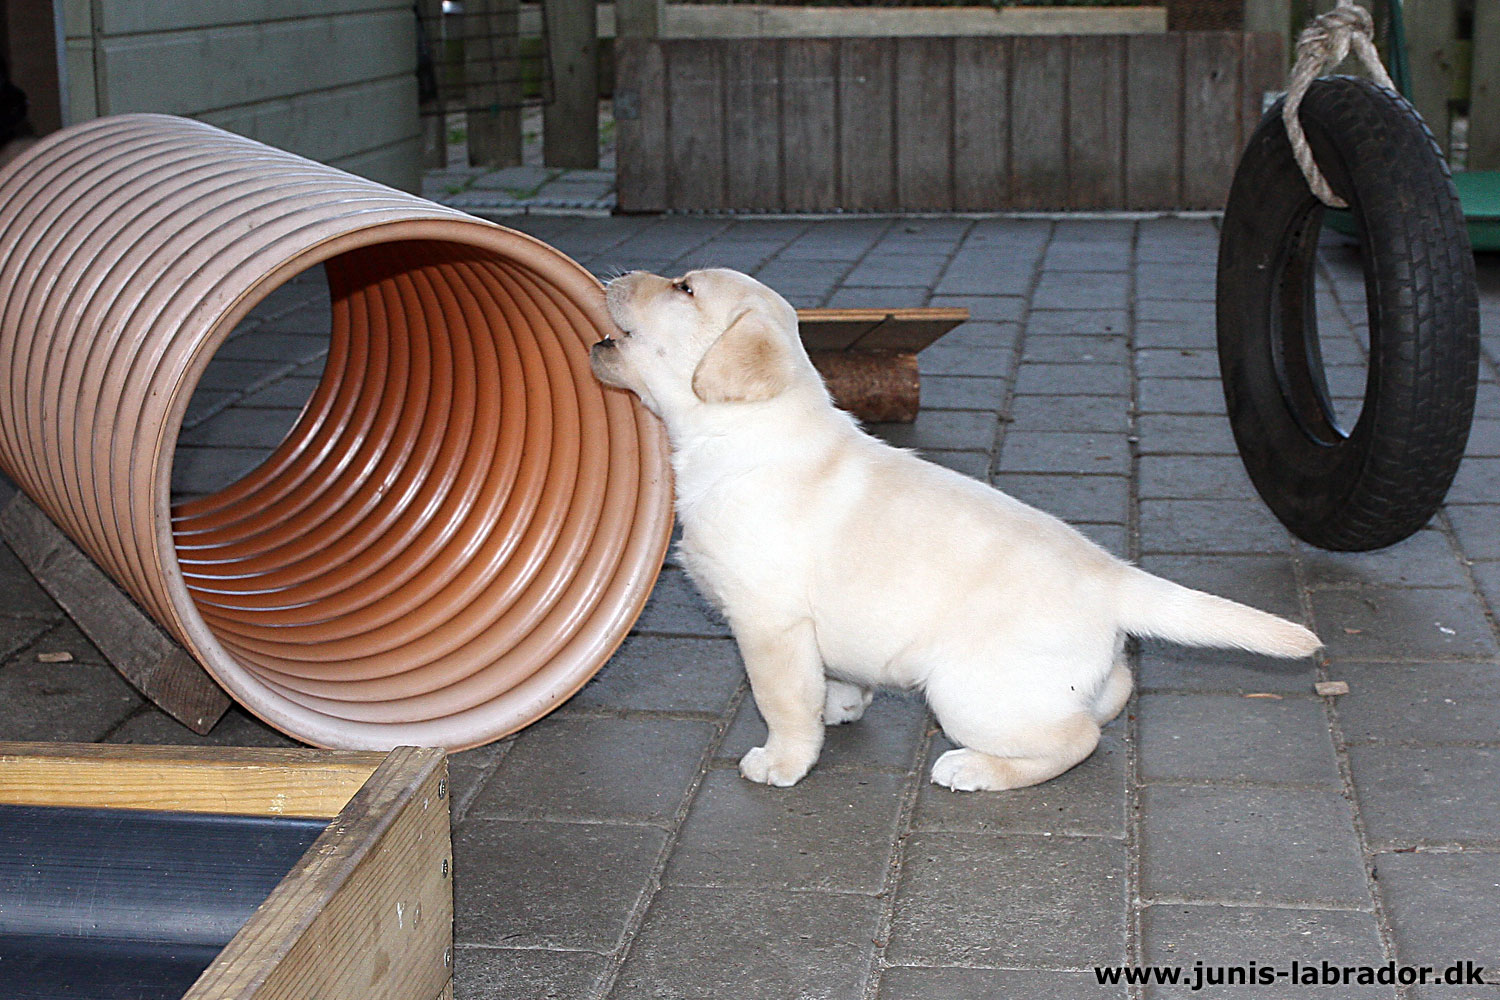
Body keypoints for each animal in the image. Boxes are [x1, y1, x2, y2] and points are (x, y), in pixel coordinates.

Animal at [591, 269, 1320, 791]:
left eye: (684, 288)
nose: (615, 274)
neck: (738, 433)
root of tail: (1116, 578)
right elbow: (829, 677)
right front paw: (841, 704)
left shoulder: (768, 622)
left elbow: (783, 702)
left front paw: (783, 761)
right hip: (1066, 677)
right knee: (1109, 696)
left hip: (967, 691)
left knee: (1075, 740)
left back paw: (973, 768)